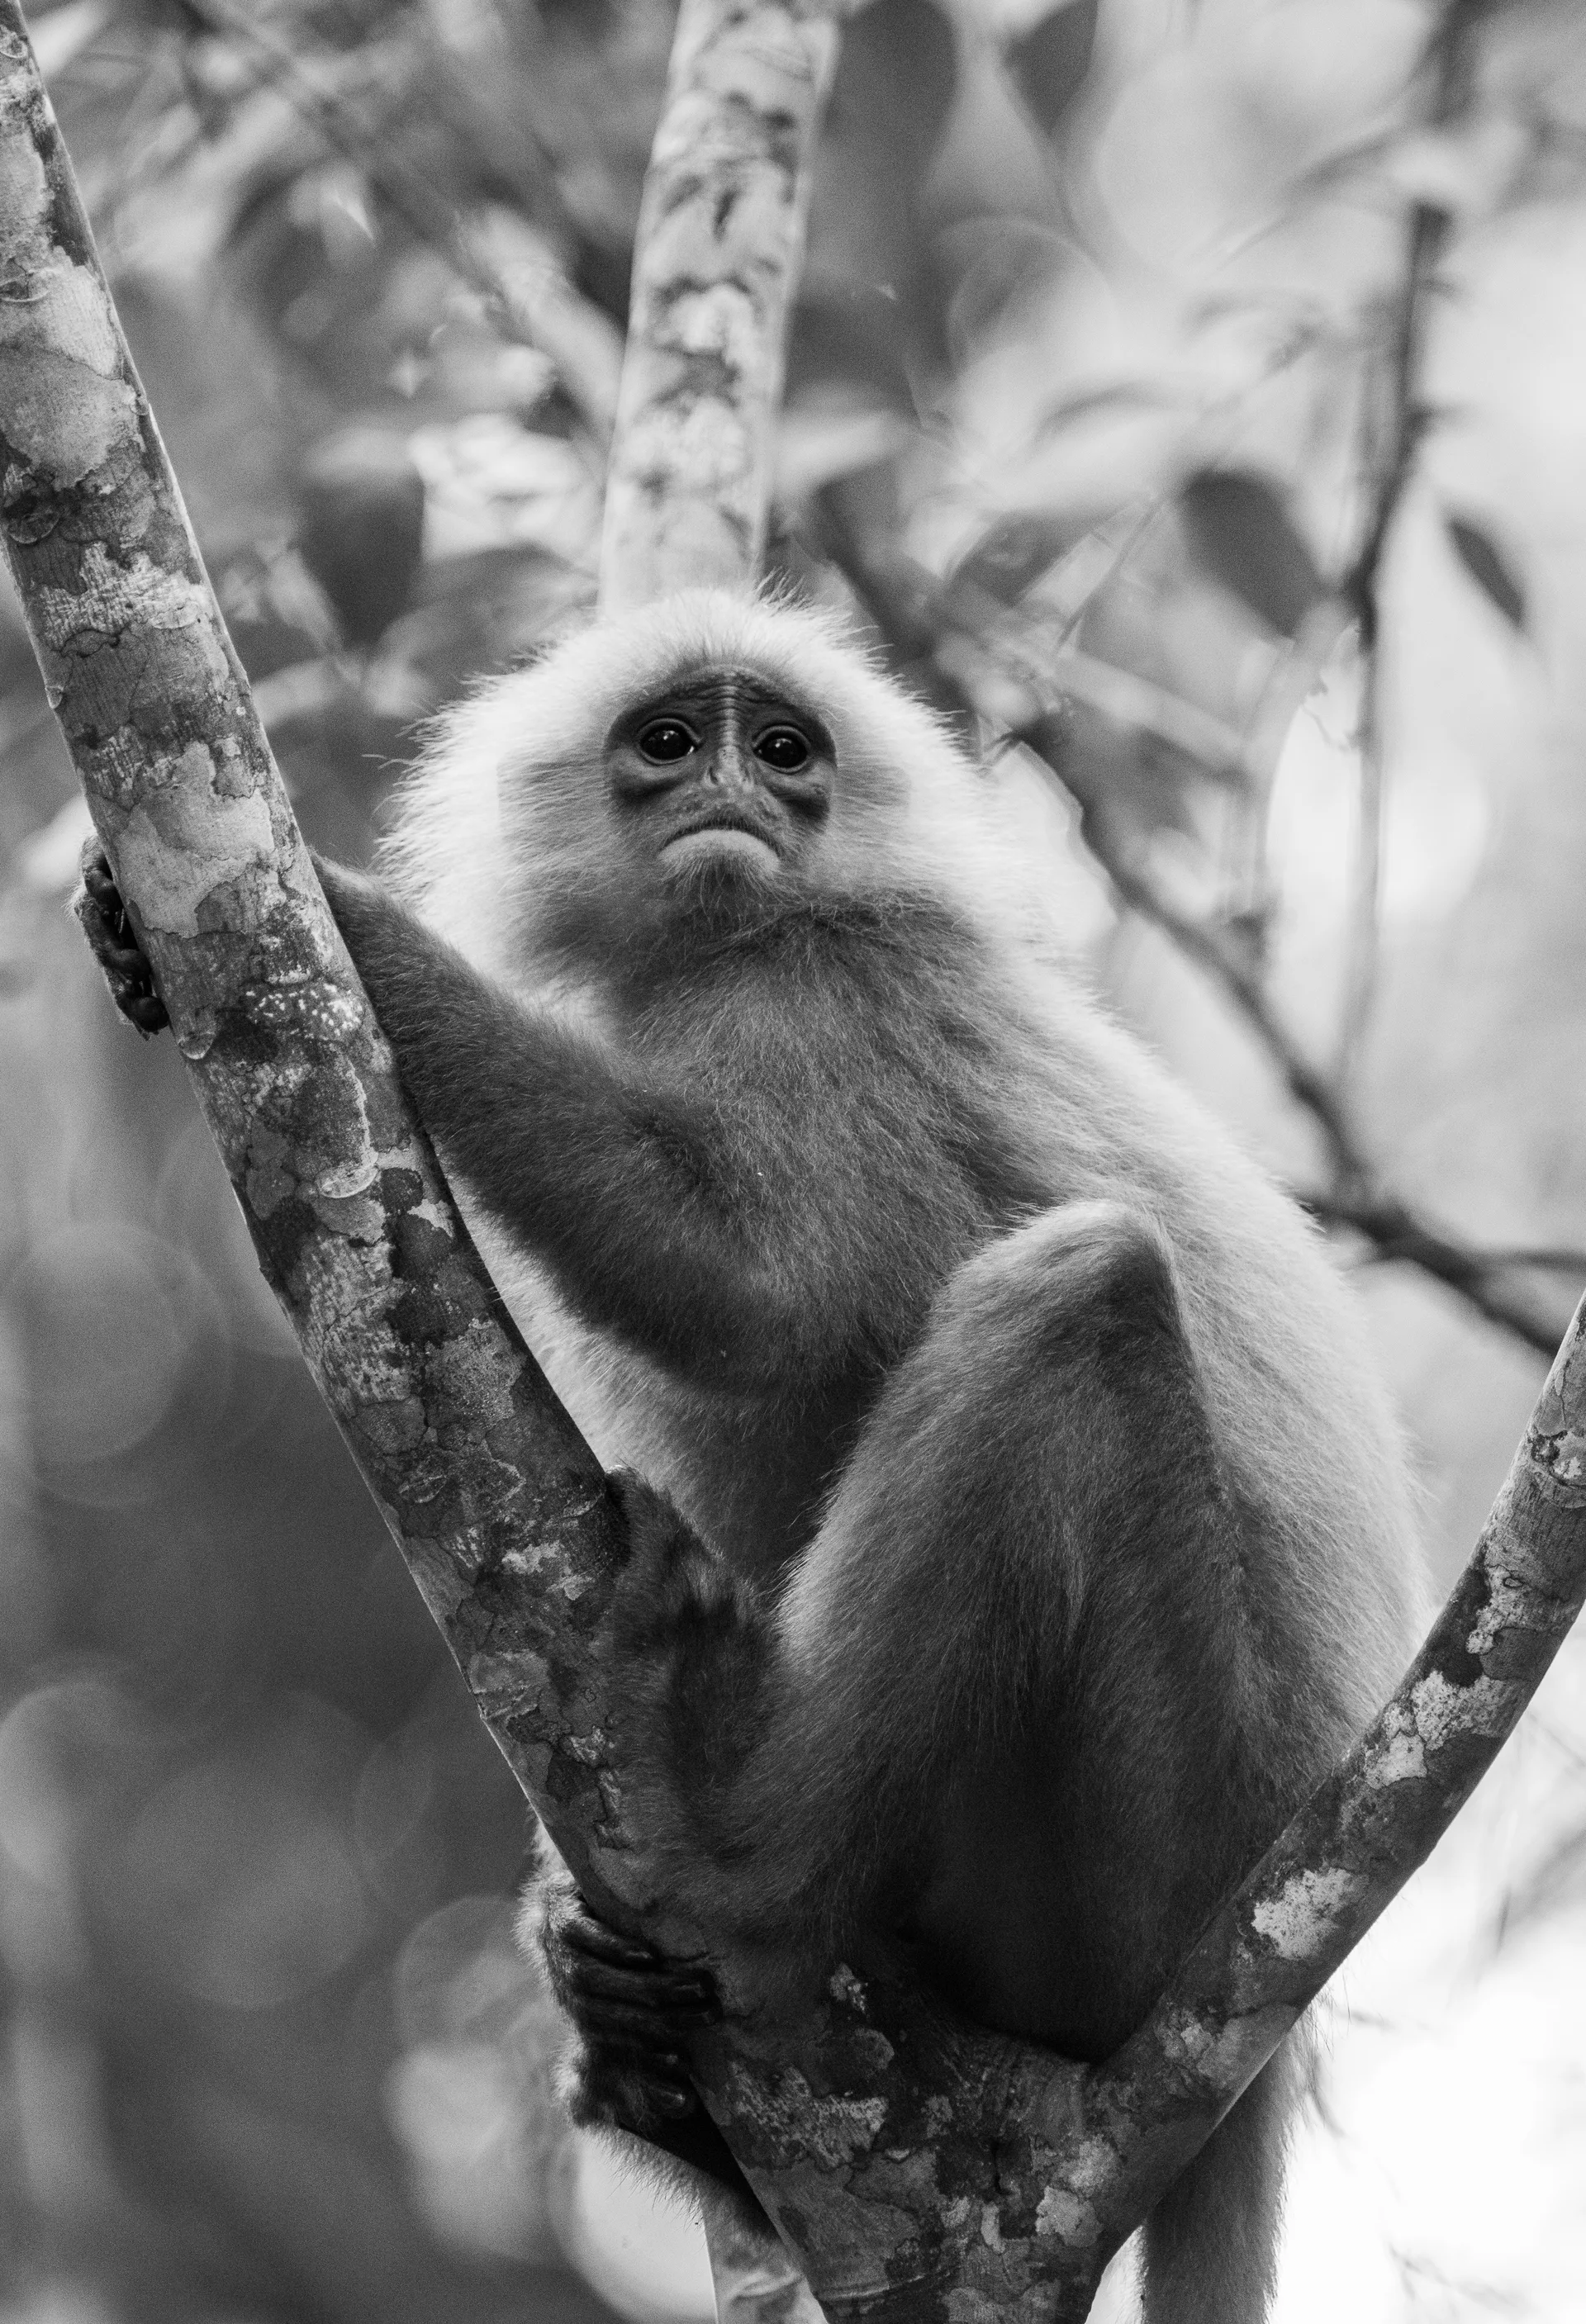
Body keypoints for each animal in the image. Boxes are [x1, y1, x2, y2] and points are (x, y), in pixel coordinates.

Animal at [79, 587, 1424, 2322]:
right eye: (671, 741)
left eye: (782, 748)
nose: (736, 791)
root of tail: (1259, 2038)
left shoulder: (822, 992)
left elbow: (762, 1296)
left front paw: (364, 936)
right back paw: (646, 2064)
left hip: (1148, 1860)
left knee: (1084, 1293)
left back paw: (726, 1847)